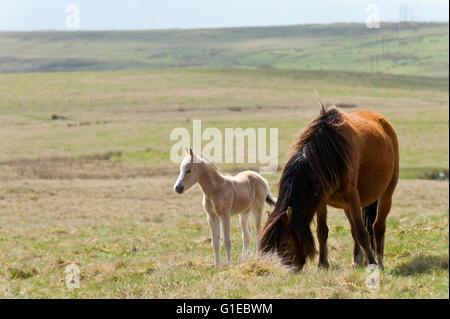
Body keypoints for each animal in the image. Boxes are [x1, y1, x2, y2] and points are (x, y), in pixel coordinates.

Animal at [258, 104, 400, 272]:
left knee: (378, 226)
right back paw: (357, 260)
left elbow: (362, 233)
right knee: (354, 229)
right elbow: (322, 231)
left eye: (284, 243)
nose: (287, 271)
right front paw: (323, 264)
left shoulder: (352, 196)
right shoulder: (321, 199)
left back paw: (379, 260)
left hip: (386, 194)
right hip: (346, 205)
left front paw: (372, 263)